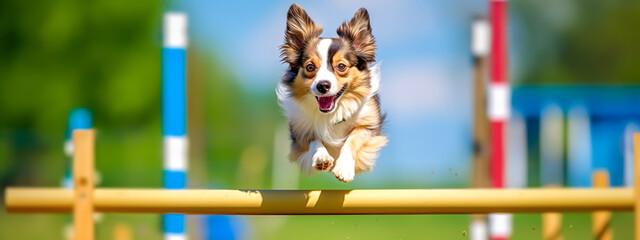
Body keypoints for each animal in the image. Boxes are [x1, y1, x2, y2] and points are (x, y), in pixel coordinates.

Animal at [274, 3, 384, 183]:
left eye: (341, 66)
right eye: (310, 67)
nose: (323, 86)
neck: (332, 113)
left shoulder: (369, 127)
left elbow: (352, 139)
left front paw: (344, 168)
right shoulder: (300, 133)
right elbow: (314, 140)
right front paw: (321, 157)